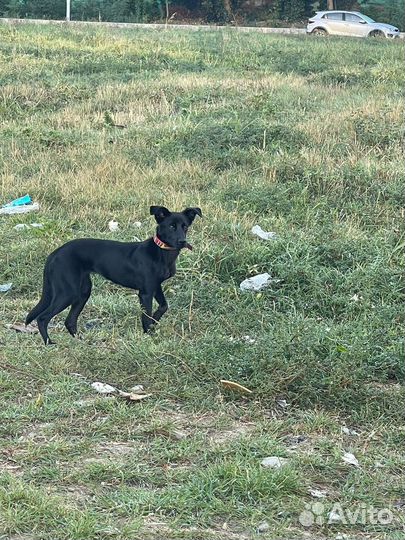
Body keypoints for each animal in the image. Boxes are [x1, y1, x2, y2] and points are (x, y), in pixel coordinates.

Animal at [24, 205, 200, 344]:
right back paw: (49, 343)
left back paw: (81, 341)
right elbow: (146, 315)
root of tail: (54, 254)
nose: (182, 241)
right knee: (43, 317)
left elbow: (163, 307)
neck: (161, 252)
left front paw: (154, 322)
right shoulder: (145, 293)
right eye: (171, 227)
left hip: (83, 292)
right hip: (67, 292)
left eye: (185, 226)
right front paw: (148, 334)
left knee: (70, 321)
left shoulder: (156, 287)